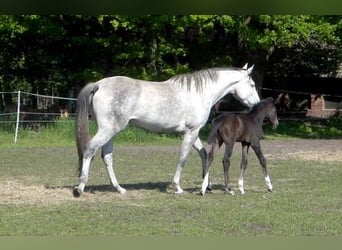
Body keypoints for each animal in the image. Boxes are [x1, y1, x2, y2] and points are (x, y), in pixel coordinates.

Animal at [74, 63, 260, 196]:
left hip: (110, 132)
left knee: (107, 157)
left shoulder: (193, 133)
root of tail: (98, 85)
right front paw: (177, 187)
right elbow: (183, 158)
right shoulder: (190, 132)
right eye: (252, 84)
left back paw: (119, 188)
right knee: (89, 149)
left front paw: (208, 185)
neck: (199, 94)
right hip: (107, 130)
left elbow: (204, 154)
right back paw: (80, 187)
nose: (257, 104)